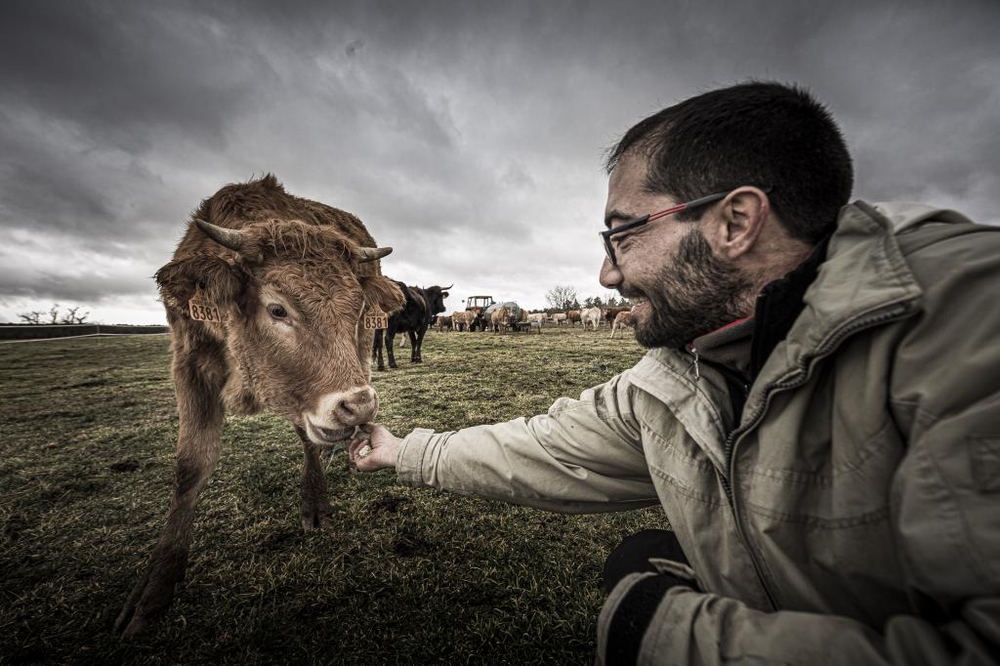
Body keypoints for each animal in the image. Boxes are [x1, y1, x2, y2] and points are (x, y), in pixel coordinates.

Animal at [113, 174, 402, 636]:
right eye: (277, 309)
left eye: (357, 308)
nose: (358, 407)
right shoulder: (188, 364)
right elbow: (190, 467)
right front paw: (153, 592)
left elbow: (307, 438)